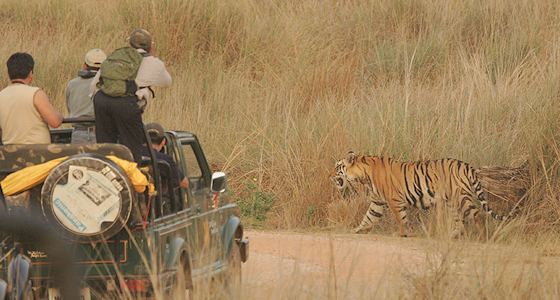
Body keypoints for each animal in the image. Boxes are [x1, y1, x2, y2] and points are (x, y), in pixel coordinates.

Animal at [328, 151, 508, 238]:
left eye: (337, 167)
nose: (329, 175)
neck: (364, 176)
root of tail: (466, 165)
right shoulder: (377, 202)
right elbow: (368, 217)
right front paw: (357, 230)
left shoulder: (394, 200)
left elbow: (401, 218)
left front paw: (401, 234)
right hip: (452, 202)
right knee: (461, 222)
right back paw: (452, 236)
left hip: (461, 197)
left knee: (479, 215)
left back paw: (484, 238)